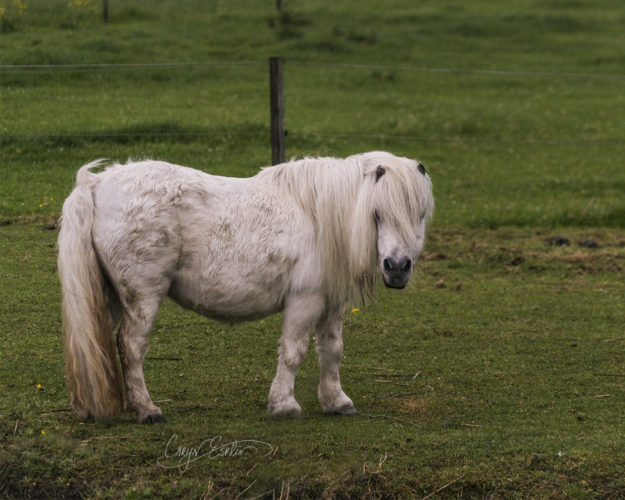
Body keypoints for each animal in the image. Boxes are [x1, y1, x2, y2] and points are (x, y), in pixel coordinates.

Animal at [58, 151, 432, 422]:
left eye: (420, 214)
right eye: (377, 213)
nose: (397, 268)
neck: (322, 219)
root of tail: (96, 183)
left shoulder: (331, 303)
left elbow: (332, 350)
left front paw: (336, 401)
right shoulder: (305, 301)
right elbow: (294, 352)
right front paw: (284, 405)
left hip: (109, 297)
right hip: (142, 297)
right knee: (131, 347)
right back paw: (147, 409)